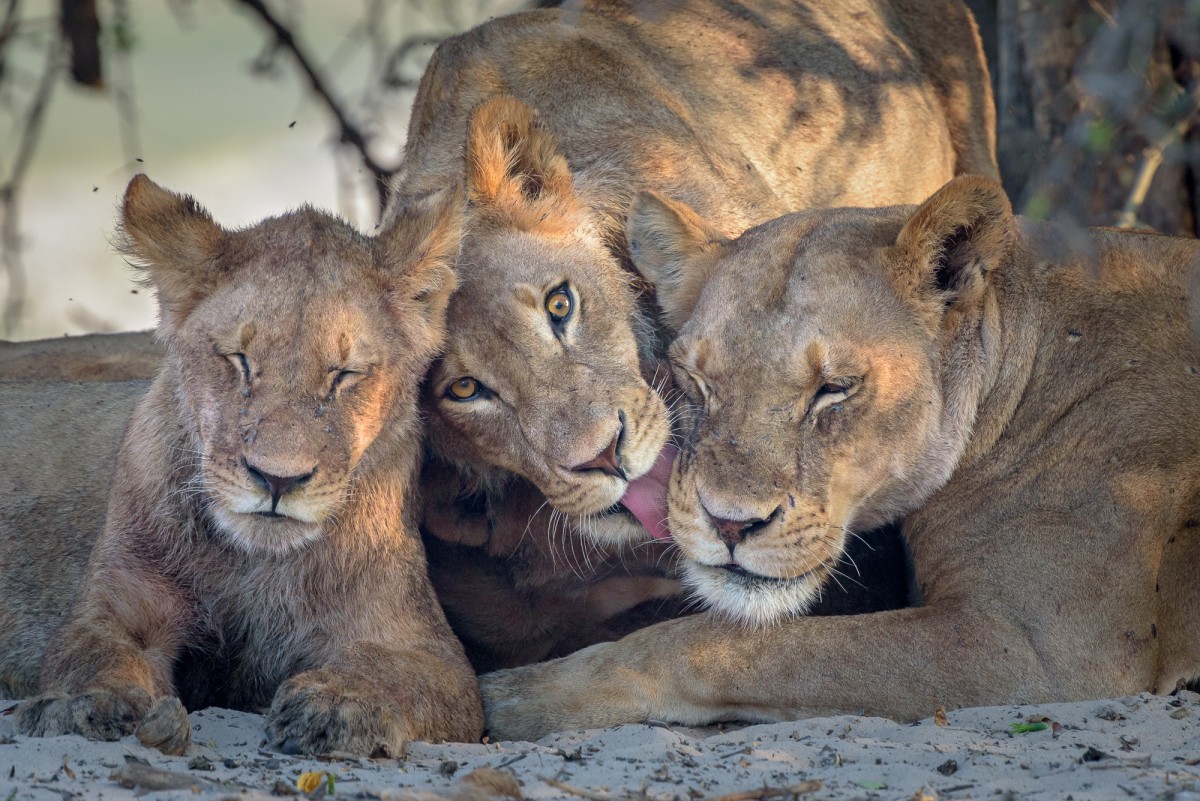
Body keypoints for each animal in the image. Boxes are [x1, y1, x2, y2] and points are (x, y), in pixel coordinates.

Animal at [5, 175, 482, 757]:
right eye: (239, 361)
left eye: (344, 375)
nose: (278, 479)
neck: (257, 565)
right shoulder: (116, 604)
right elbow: (90, 652)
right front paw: (82, 704)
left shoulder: (427, 649)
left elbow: (393, 673)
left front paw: (338, 705)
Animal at [477, 178, 1200, 743]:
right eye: (696, 381)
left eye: (835, 389)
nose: (729, 523)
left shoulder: (1038, 647)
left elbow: (722, 642)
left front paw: (522, 694)